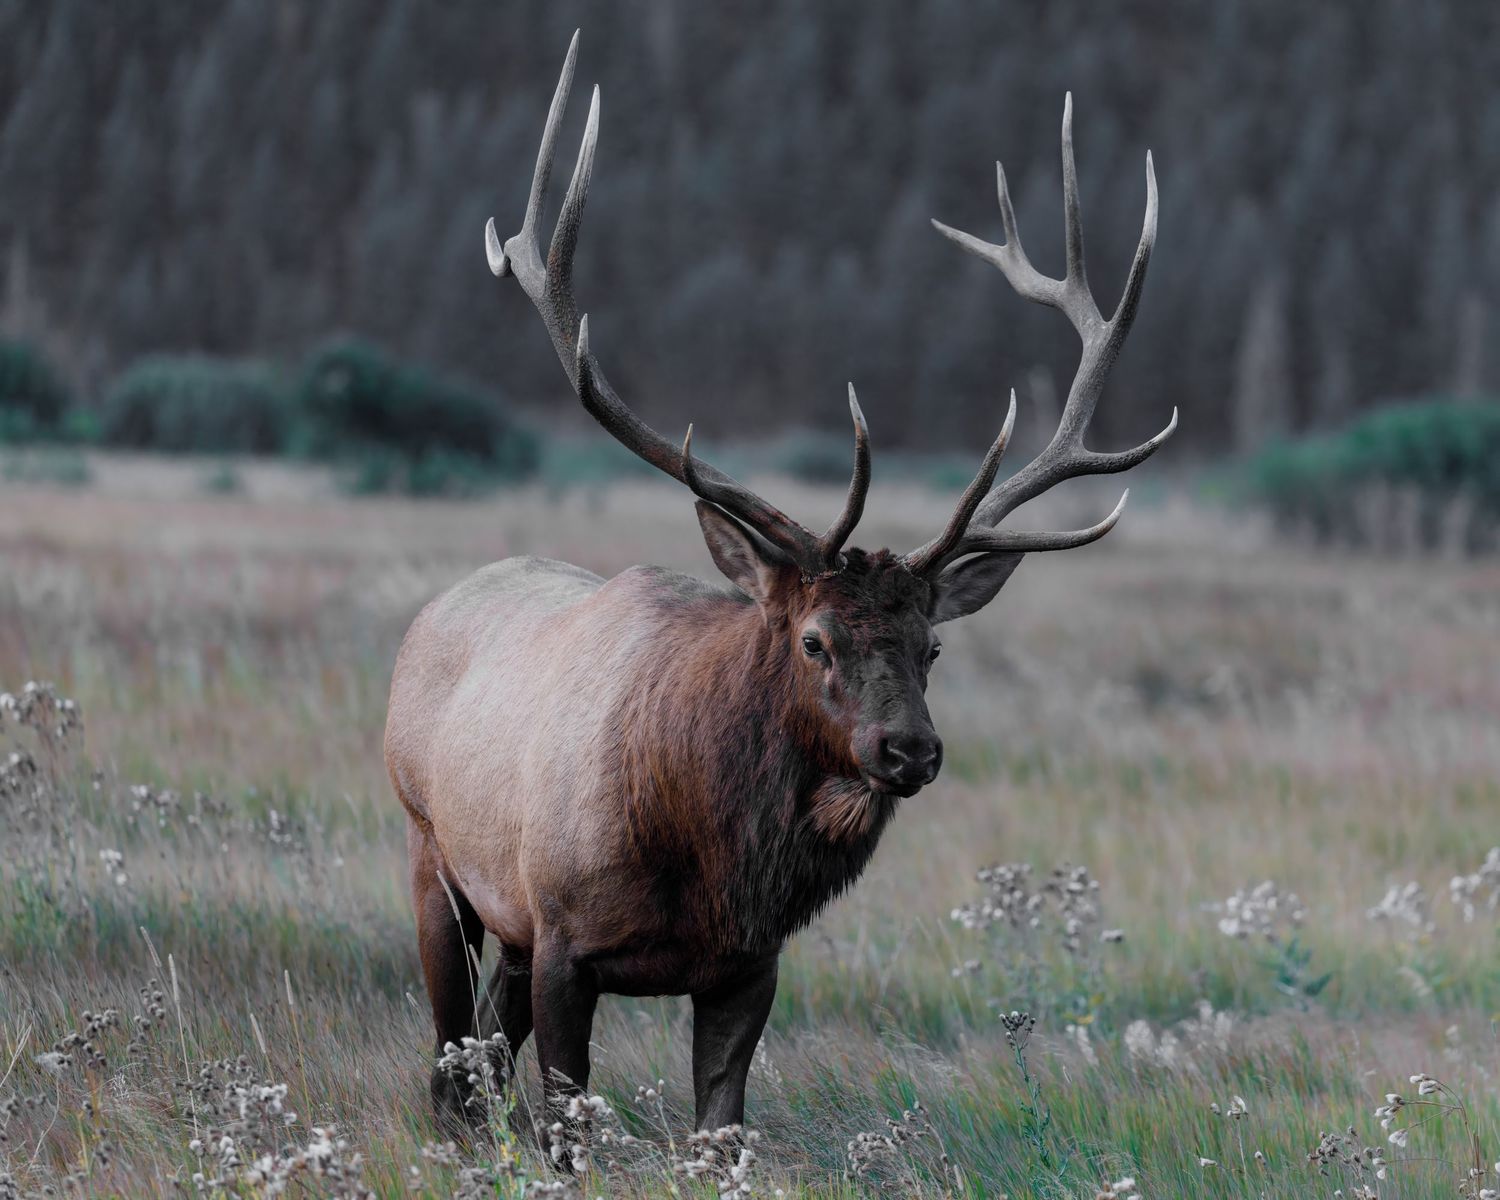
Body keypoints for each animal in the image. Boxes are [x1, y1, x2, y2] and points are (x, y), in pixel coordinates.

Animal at [384, 31, 1176, 1139]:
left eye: (932, 646)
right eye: (815, 640)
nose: (909, 749)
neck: (706, 864)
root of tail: (435, 612)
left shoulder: (747, 966)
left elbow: (722, 1129)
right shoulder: (565, 936)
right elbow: (566, 1129)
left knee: (478, 1061)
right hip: (435, 854)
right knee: (450, 1060)